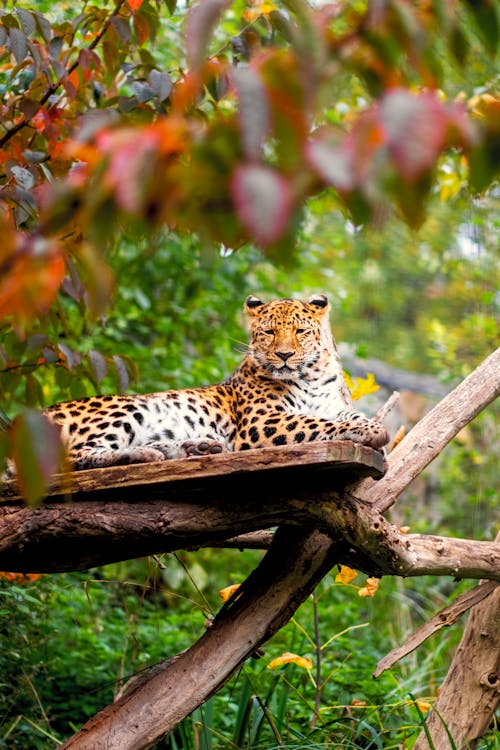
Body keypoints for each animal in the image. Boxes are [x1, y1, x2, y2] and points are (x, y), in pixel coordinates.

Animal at [16, 296, 390, 472]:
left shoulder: (336, 406)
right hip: (125, 407)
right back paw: (146, 454)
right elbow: (313, 423)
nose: (284, 355)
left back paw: (196, 448)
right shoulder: (260, 421)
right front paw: (373, 433)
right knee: (79, 456)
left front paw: (371, 429)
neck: (310, 375)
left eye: (300, 331)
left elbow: (346, 417)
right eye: (269, 332)